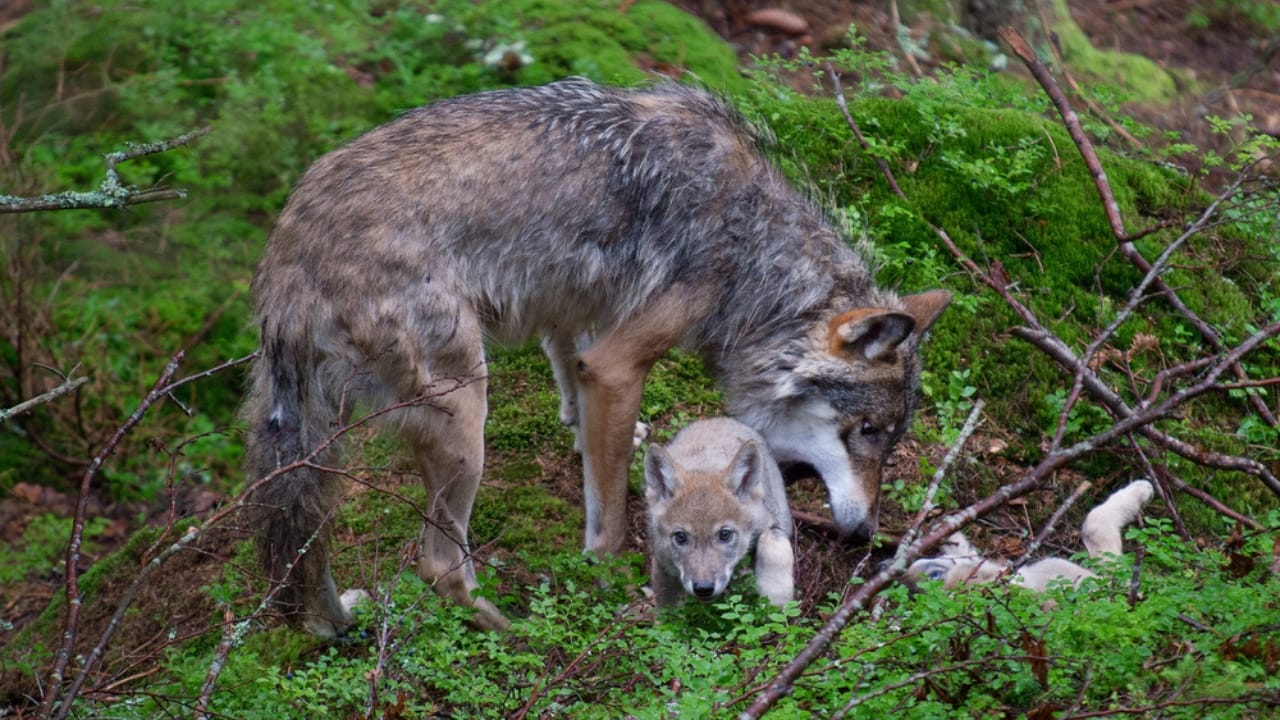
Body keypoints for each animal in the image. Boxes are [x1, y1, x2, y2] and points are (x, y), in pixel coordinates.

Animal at [644, 418, 794, 608]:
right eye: (680, 537)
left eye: (725, 535)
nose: (704, 588)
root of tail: (718, 419)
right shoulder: (663, 563)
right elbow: (667, 609)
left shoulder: (771, 523)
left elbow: (774, 547)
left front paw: (776, 600)